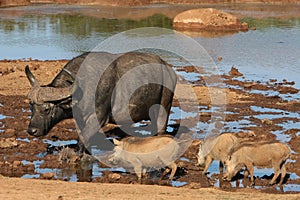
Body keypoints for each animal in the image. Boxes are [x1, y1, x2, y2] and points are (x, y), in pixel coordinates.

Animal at [25, 51, 177, 150]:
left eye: (46, 109)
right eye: (31, 107)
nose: (32, 130)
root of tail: (170, 71)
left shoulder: (99, 118)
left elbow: (83, 141)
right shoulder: (80, 120)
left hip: (164, 108)